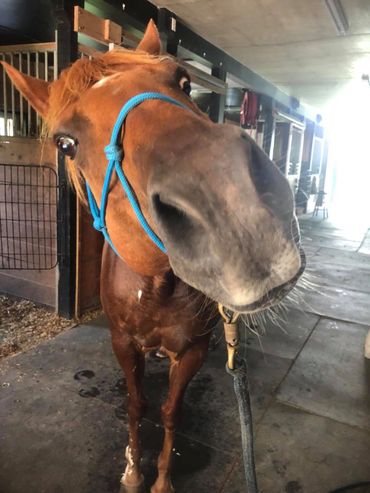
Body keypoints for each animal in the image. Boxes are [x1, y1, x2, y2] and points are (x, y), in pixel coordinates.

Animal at [2, 20, 304, 492]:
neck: (158, 289)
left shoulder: (193, 350)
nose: (237, 213)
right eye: (65, 143)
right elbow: (137, 406)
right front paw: (132, 471)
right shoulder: (123, 344)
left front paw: (161, 481)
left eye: (182, 80)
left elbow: (169, 412)